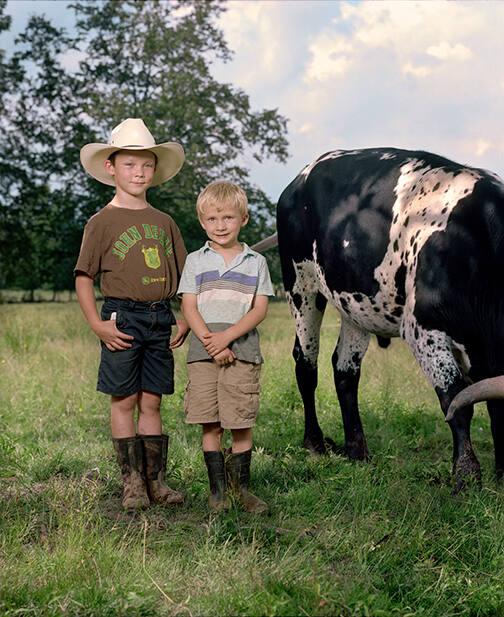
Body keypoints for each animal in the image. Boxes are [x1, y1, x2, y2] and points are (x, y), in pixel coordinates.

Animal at [262, 147, 504, 488]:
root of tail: (300, 178)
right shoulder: (423, 331)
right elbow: (456, 401)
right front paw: (466, 475)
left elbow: (492, 406)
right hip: (301, 284)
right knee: (306, 363)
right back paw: (315, 443)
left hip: (354, 305)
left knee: (345, 370)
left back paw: (356, 449)